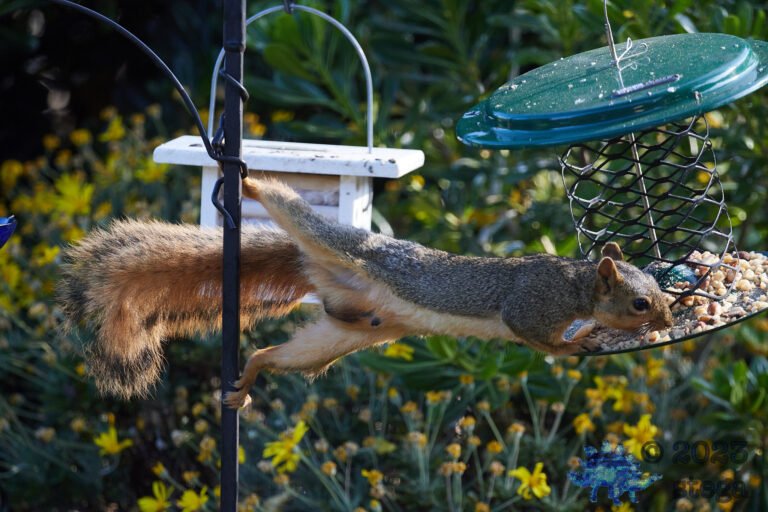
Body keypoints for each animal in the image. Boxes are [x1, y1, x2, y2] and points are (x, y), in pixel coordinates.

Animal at [57, 177, 674, 408]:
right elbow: (532, 335)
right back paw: (251, 183)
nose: (667, 323)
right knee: (292, 207)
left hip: (344, 334)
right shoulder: (531, 304)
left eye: (663, 293)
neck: (579, 285)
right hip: (334, 242)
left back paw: (250, 377)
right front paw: (573, 345)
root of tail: (315, 270)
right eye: (640, 302)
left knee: (274, 353)